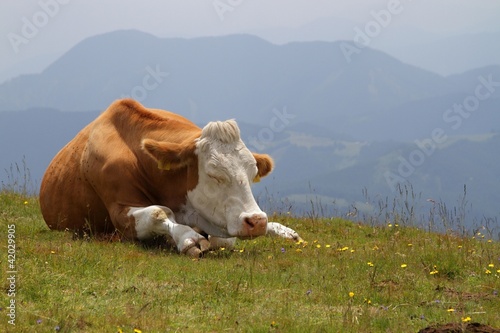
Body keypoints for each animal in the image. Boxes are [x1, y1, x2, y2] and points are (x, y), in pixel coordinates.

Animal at [40, 98, 300, 256]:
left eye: (252, 172)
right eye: (213, 174)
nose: (256, 221)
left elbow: (223, 239)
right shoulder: (119, 211)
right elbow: (158, 212)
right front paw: (189, 238)